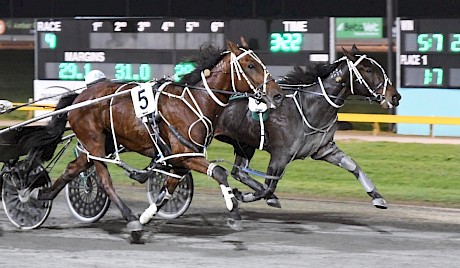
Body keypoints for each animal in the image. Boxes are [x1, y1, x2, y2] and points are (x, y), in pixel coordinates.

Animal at [30, 38, 284, 242]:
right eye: (250, 65)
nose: (278, 94)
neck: (195, 102)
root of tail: (80, 96)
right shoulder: (186, 154)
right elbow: (220, 172)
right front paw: (234, 210)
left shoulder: (180, 160)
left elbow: (166, 192)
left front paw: (145, 218)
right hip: (95, 143)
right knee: (104, 181)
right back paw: (129, 219)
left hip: (100, 143)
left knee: (73, 168)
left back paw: (39, 196)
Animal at [214, 45, 400, 209]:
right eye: (368, 70)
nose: (395, 96)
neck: (310, 106)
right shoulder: (280, 156)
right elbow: (268, 187)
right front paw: (242, 195)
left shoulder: (325, 149)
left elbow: (354, 167)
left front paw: (377, 197)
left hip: (244, 144)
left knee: (239, 172)